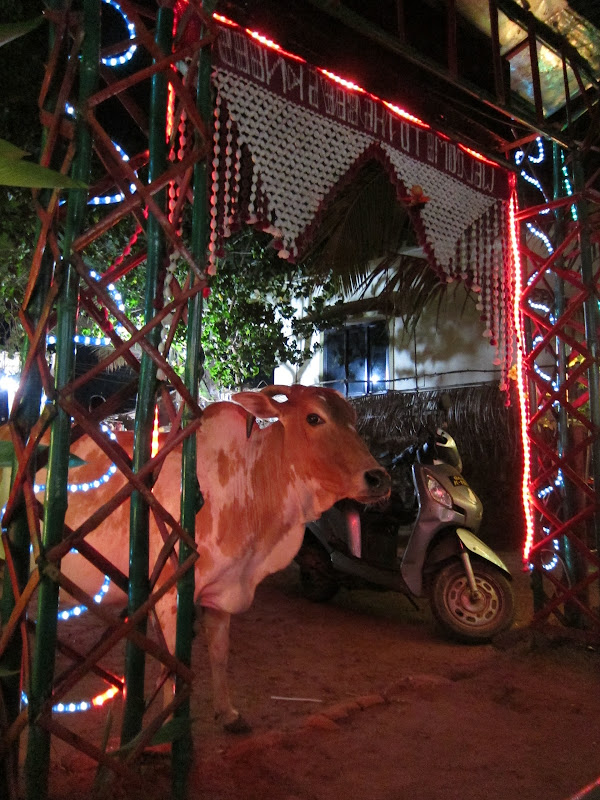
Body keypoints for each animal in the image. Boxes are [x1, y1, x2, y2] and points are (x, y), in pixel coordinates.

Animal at [45, 385, 391, 731]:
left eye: (353, 417)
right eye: (314, 418)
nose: (378, 478)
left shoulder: (222, 591)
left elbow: (220, 653)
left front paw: (228, 713)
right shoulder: (169, 594)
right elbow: (172, 664)